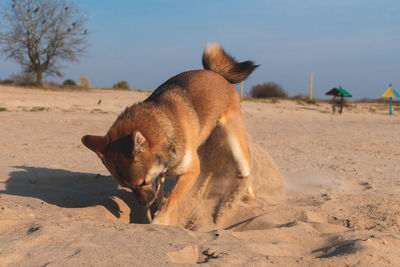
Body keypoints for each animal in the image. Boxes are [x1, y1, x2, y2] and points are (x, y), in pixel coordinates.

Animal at [82, 44, 258, 226]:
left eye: (142, 182)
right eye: (127, 186)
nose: (143, 204)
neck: (167, 130)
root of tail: (217, 74)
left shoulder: (191, 171)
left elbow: (171, 201)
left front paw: (159, 222)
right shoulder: (159, 176)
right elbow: (159, 200)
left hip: (236, 146)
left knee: (247, 175)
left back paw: (250, 200)